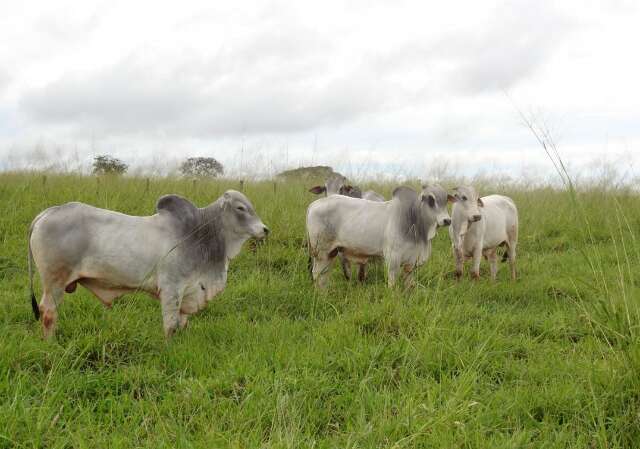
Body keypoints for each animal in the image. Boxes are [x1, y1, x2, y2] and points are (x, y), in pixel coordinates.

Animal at [26, 191, 268, 338]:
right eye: (240, 208)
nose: (265, 229)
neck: (200, 232)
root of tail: (47, 212)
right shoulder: (172, 287)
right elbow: (171, 326)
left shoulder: (189, 290)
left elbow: (183, 323)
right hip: (54, 282)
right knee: (48, 313)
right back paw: (50, 343)